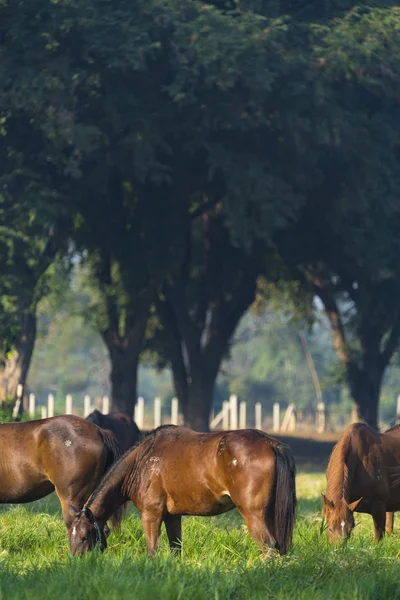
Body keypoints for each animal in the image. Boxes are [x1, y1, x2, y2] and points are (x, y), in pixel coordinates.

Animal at [68, 426, 296, 556]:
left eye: (84, 537)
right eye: (70, 535)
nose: (76, 563)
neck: (142, 461)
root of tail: (271, 444)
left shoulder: (151, 515)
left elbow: (152, 551)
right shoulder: (172, 517)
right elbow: (175, 549)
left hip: (253, 514)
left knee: (268, 546)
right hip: (270, 514)